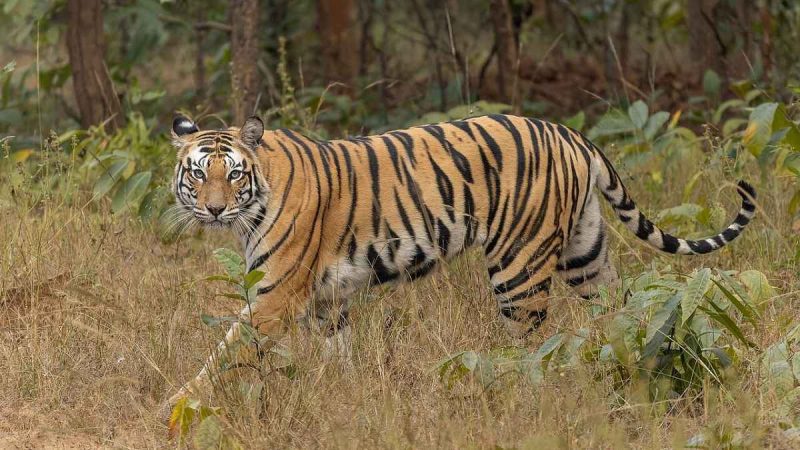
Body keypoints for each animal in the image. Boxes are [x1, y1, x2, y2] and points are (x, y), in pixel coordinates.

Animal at [166, 113, 755, 406]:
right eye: (198, 173)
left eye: (233, 174)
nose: (214, 209)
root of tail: (571, 133)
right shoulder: (327, 300)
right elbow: (340, 356)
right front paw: (348, 395)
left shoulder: (276, 295)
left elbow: (222, 354)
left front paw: (178, 407)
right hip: (585, 255)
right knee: (620, 314)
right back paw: (625, 371)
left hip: (520, 267)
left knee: (532, 346)